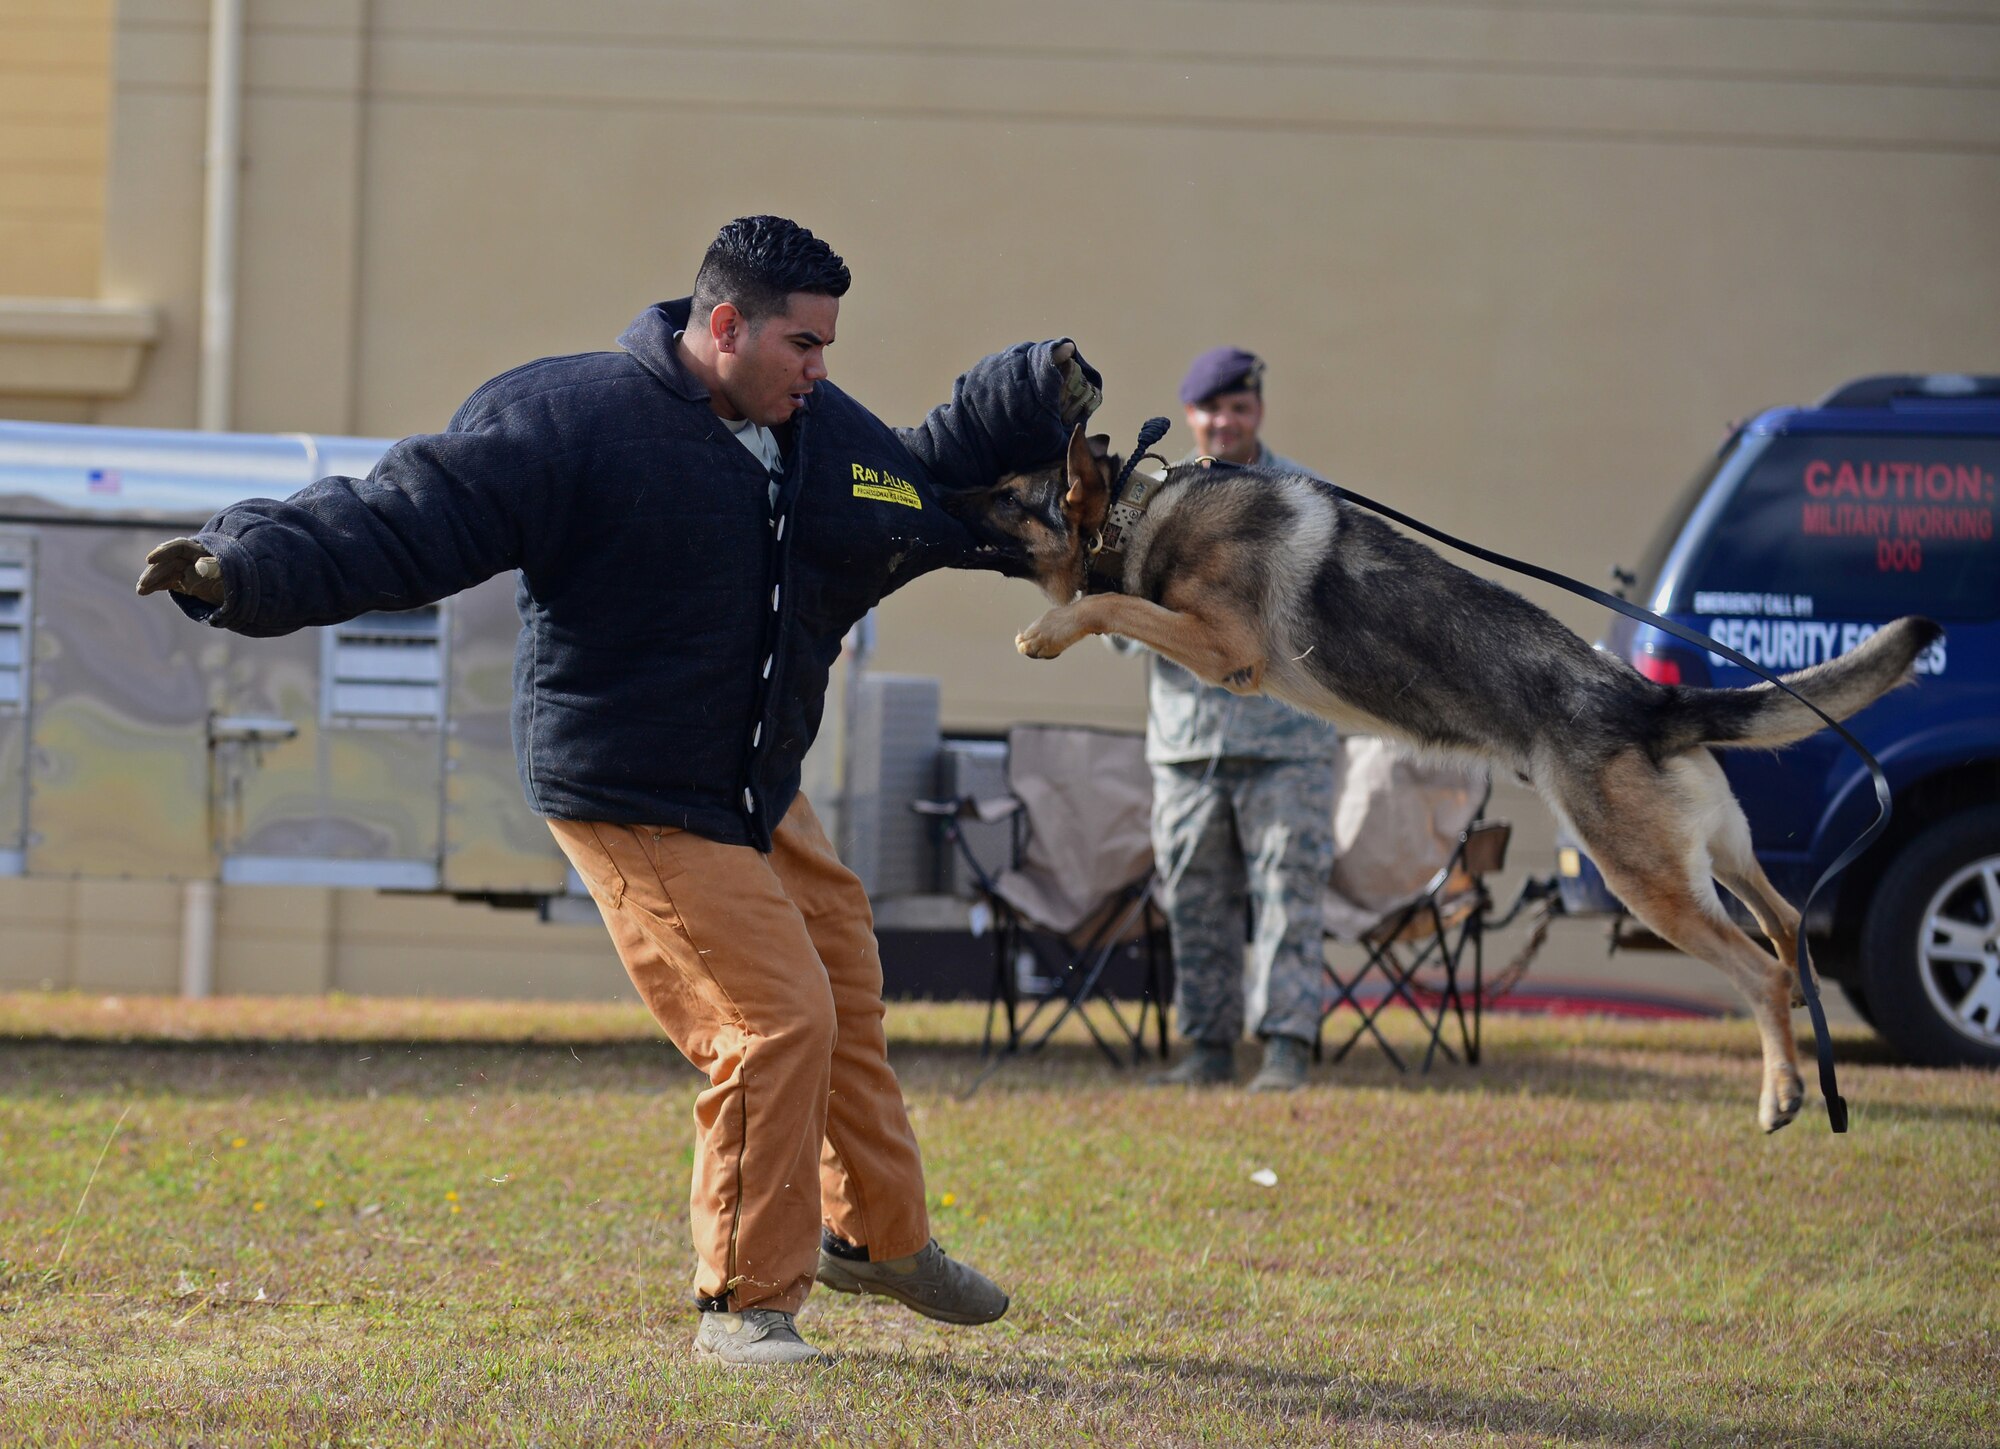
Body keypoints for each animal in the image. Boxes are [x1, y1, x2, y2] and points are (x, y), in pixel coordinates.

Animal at [944, 430, 1944, 1128]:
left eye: (1008, 494)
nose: (939, 483)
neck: (1141, 507)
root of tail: (1649, 701)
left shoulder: (1225, 650)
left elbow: (1110, 602)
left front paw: (1050, 630)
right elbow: (1113, 600)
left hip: (1646, 881)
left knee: (1760, 970)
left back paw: (1782, 1095)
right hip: (1716, 858)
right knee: (1788, 924)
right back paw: (1803, 1047)